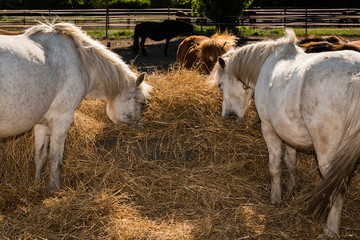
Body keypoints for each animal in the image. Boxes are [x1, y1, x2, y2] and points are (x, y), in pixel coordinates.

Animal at [0, 22, 151, 191]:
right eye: (142, 103)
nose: (140, 127)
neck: (82, 64)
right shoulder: (61, 120)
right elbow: (55, 161)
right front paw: (54, 190)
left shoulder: (41, 124)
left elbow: (40, 157)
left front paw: (36, 185)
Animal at [212, 29, 360, 237]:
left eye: (220, 85)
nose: (229, 116)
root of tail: (356, 73)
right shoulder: (289, 134)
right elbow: (291, 162)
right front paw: (292, 188)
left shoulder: (269, 129)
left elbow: (274, 166)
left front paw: (276, 198)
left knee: (339, 189)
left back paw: (330, 230)